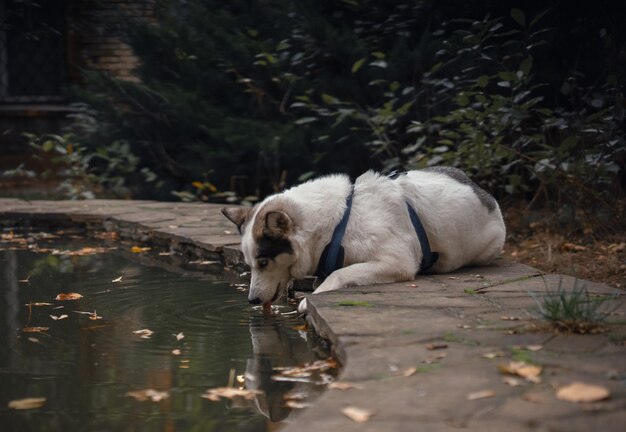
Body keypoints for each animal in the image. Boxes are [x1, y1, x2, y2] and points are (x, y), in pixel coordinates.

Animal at [222, 167, 504, 308]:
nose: (252, 301)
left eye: (264, 263)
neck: (337, 223)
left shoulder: (397, 262)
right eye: (250, 265)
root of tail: (481, 191)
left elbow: (338, 275)